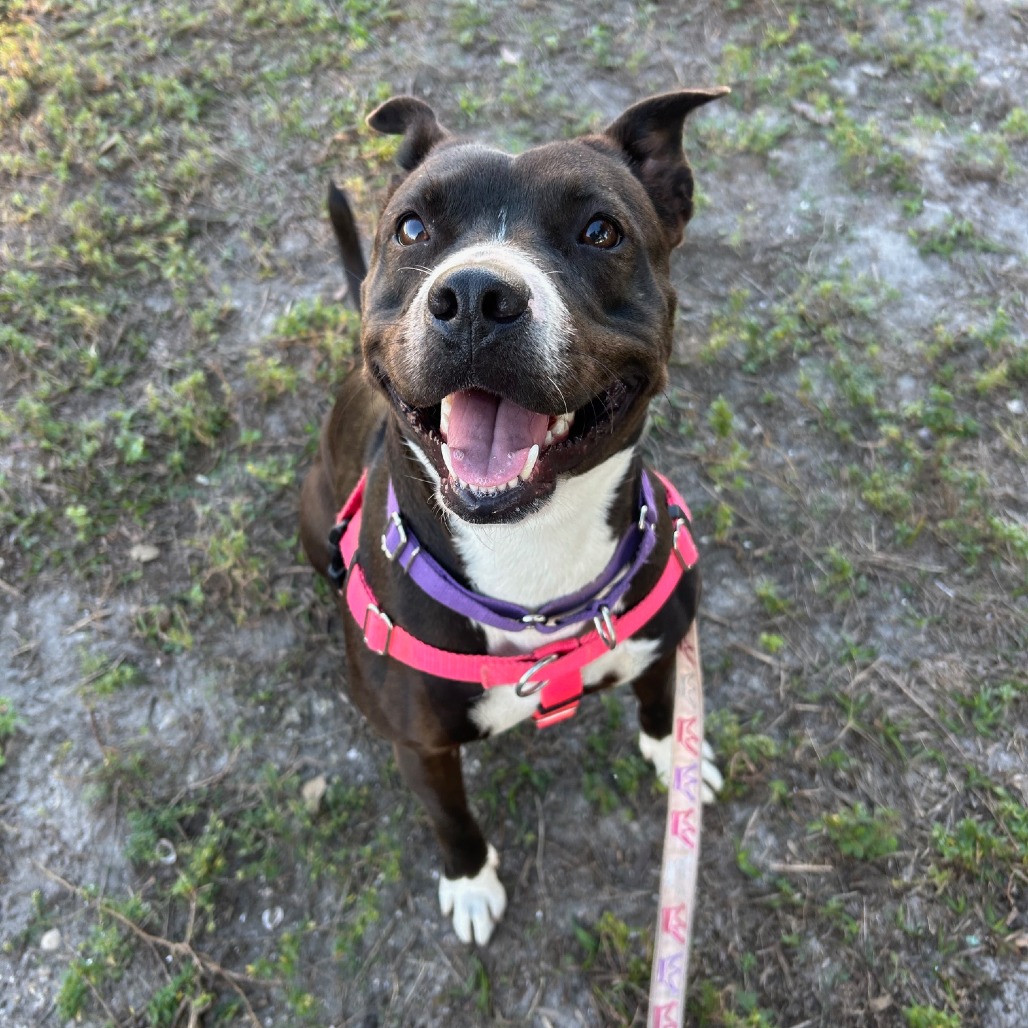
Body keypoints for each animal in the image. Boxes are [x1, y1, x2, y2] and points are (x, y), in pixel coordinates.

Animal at [300, 88, 728, 946]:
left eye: (601, 231)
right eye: (412, 228)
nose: (474, 297)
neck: (532, 566)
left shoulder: (664, 643)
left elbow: (661, 701)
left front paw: (677, 757)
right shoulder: (422, 746)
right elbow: (451, 816)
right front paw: (470, 883)